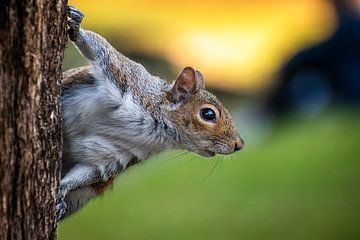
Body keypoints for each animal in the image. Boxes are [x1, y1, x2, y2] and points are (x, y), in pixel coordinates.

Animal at [58, 5, 245, 219]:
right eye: (208, 114)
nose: (239, 144)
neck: (155, 129)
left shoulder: (114, 156)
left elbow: (89, 172)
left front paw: (62, 189)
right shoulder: (125, 75)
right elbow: (101, 49)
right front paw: (77, 25)